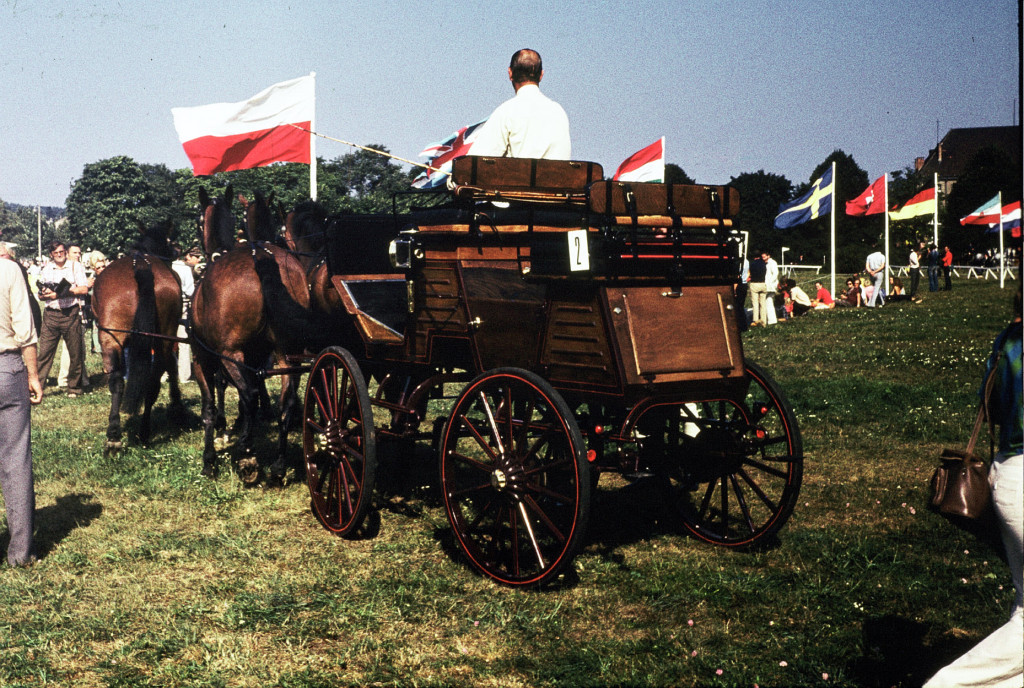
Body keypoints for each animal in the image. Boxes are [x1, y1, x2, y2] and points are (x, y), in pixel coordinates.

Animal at [94, 219, 186, 450]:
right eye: (170, 240)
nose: (177, 249)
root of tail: (142, 267)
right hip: (159, 336)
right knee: (149, 380)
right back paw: (138, 432)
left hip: (112, 337)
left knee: (119, 381)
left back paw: (119, 434)